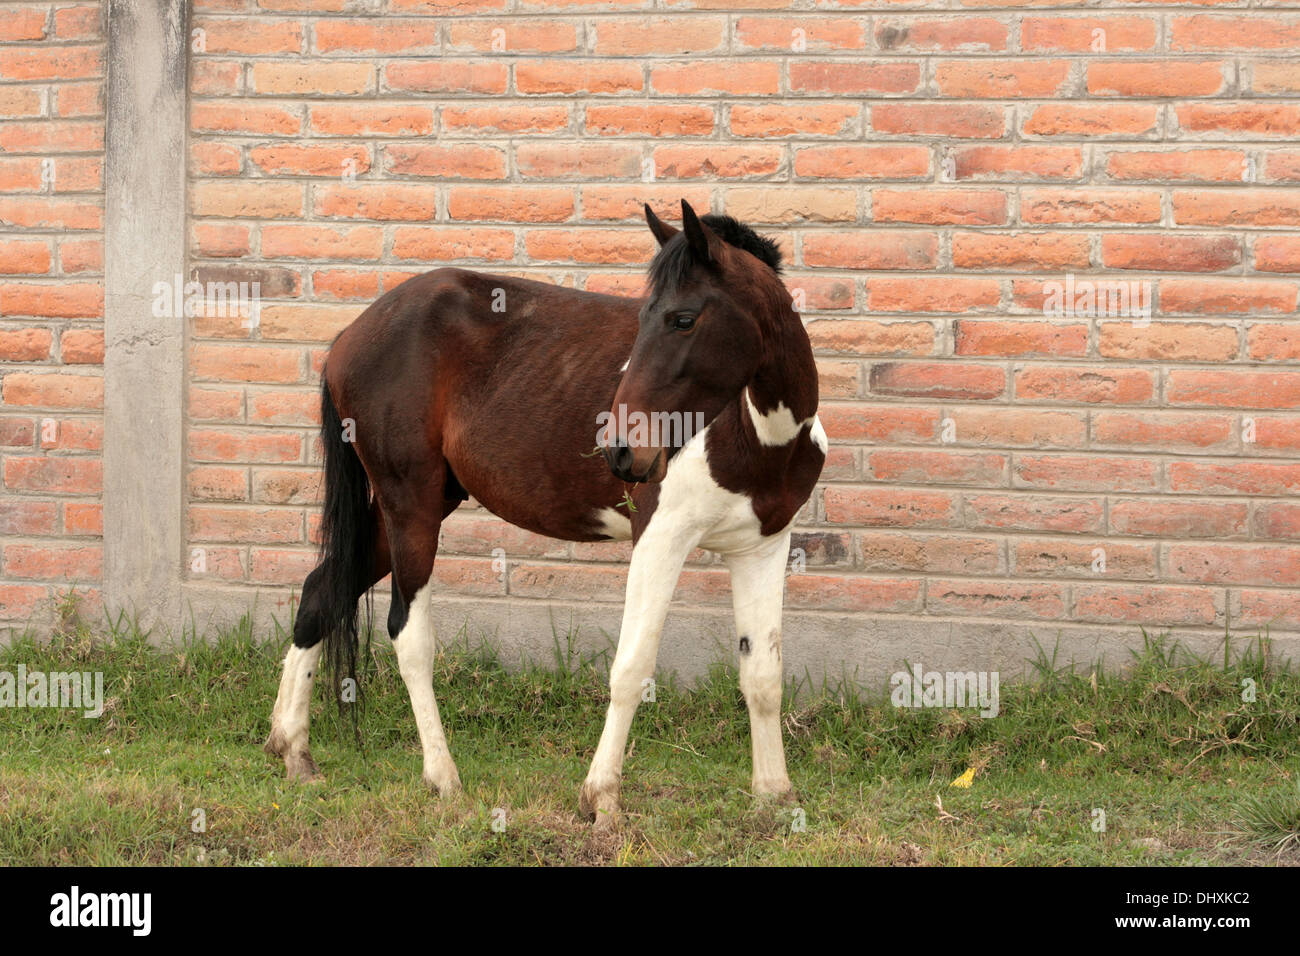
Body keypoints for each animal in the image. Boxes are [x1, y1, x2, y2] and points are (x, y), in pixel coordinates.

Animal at [265, 200, 826, 822]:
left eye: (682, 320)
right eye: (644, 318)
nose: (620, 451)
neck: (757, 437)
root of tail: (350, 335)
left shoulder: (762, 547)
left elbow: (763, 674)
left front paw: (774, 795)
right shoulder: (660, 540)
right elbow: (632, 668)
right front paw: (601, 799)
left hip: (410, 511)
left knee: (320, 592)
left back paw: (295, 752)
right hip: (409, 507)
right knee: (407, 635)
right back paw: (442, 778)